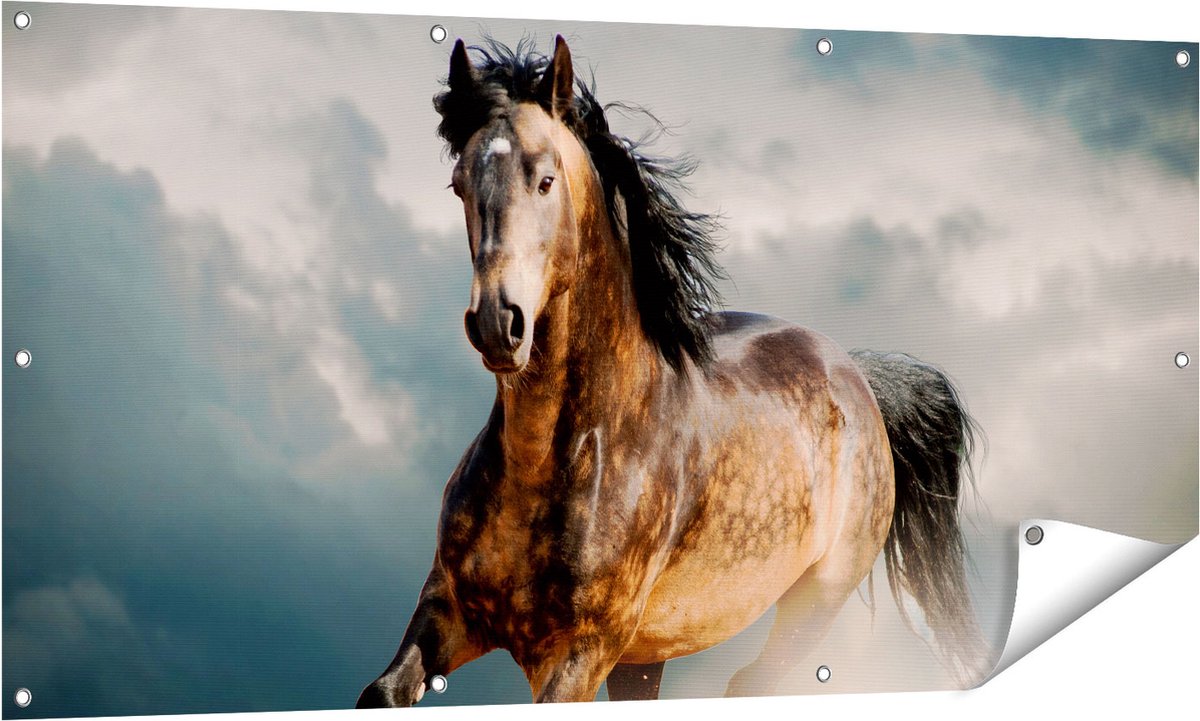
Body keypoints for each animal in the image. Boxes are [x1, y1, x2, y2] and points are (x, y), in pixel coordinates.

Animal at [357, 36, 987, 706]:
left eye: (546, 180)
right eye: (458, 185)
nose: (498, 323)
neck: (555, 459)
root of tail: (858, 376)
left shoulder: (580, 653)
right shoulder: (447, 609)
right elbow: (382, 693)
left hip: (812, 604)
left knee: (750, 683)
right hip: (646, 655)